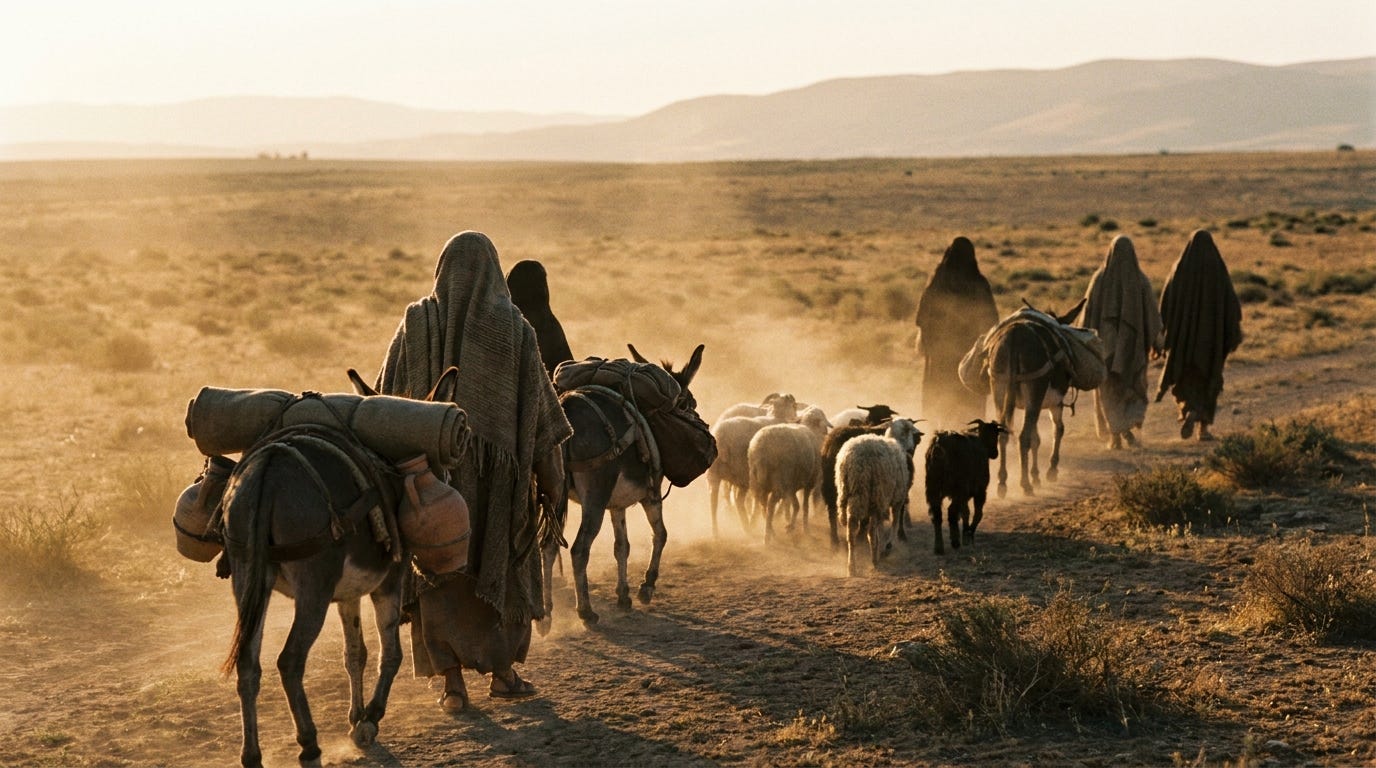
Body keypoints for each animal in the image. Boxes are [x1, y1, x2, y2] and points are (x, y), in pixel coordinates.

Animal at [707, 393, 799, 536]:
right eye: (793, 406)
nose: (796, 417)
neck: (776, 416)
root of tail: (722, 439)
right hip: (743, 474)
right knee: (739, 500)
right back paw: (747, 526)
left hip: (714, 475)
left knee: (713, 502)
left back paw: (716, 532)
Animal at [747, 406, 832, 541]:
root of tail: (761, 449)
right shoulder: (808, 483)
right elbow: (804, 507)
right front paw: (805, 529)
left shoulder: (791, 486)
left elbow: (795, 505)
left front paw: (790, 526)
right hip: (779, 479)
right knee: (770, 505)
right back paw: (767, 536)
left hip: (756, 480)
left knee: (762, 504)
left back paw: (770, 530)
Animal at [835, 418, 923, 577]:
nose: (911, 449)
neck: (897, 441)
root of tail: (856, 461)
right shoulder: (897, 498)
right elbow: (895, 522)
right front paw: (887, 546)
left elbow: (882, 527)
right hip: (876, 496)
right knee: (869, 531)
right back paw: (874, 560)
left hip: (849, 494)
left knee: (851, 532)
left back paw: (852, 567)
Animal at [923, 419, 1007, 555]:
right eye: (996, 434)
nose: (995, 453)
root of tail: (940, 444)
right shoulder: (979, 491)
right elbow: (976, 514)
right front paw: (968, 534)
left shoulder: (963, 495)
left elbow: (962, 513)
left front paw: (963, 534)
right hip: (959, 489)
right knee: (951, 511)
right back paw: (956, 542)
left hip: (933, 488)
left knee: (937, 514)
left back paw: (939, 547)